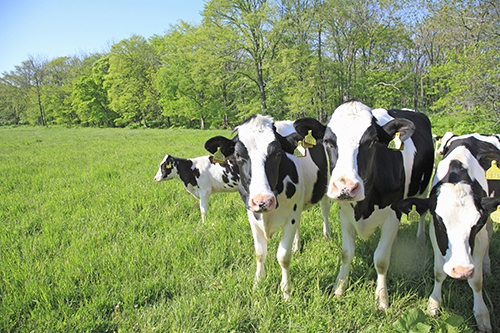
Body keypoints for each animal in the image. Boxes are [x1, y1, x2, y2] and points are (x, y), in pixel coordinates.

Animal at [205, 114, 330, 298]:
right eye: (238, 155)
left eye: (278, 153)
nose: (262, 201)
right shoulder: (252, 215)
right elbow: (260, 253)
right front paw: (257, 285)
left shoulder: (290, 218)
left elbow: (283, 256)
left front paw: (286, 292)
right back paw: (296, 246)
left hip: (326, 184)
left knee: (325, 210)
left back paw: (327, 235)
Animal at [292, 100, 434, 310]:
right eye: (328, 141)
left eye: (372, 142)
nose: (346, 187)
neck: (363, 207)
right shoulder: (344, 214)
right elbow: (346, 253)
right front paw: (339, 288)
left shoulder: (393, 214)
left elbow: (381, 259)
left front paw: (382, 299)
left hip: (422, 188)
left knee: (422, 213)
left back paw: (421, 238)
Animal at [398, 139, 500, 330]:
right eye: (440, 223)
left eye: (476, 224)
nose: (461, 270)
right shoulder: (435, 234)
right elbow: (439, 272)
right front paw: (433, 304)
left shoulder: (480, 233)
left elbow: (476, 280)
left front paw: (482, 315)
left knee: (490, 233)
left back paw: (487, 265)